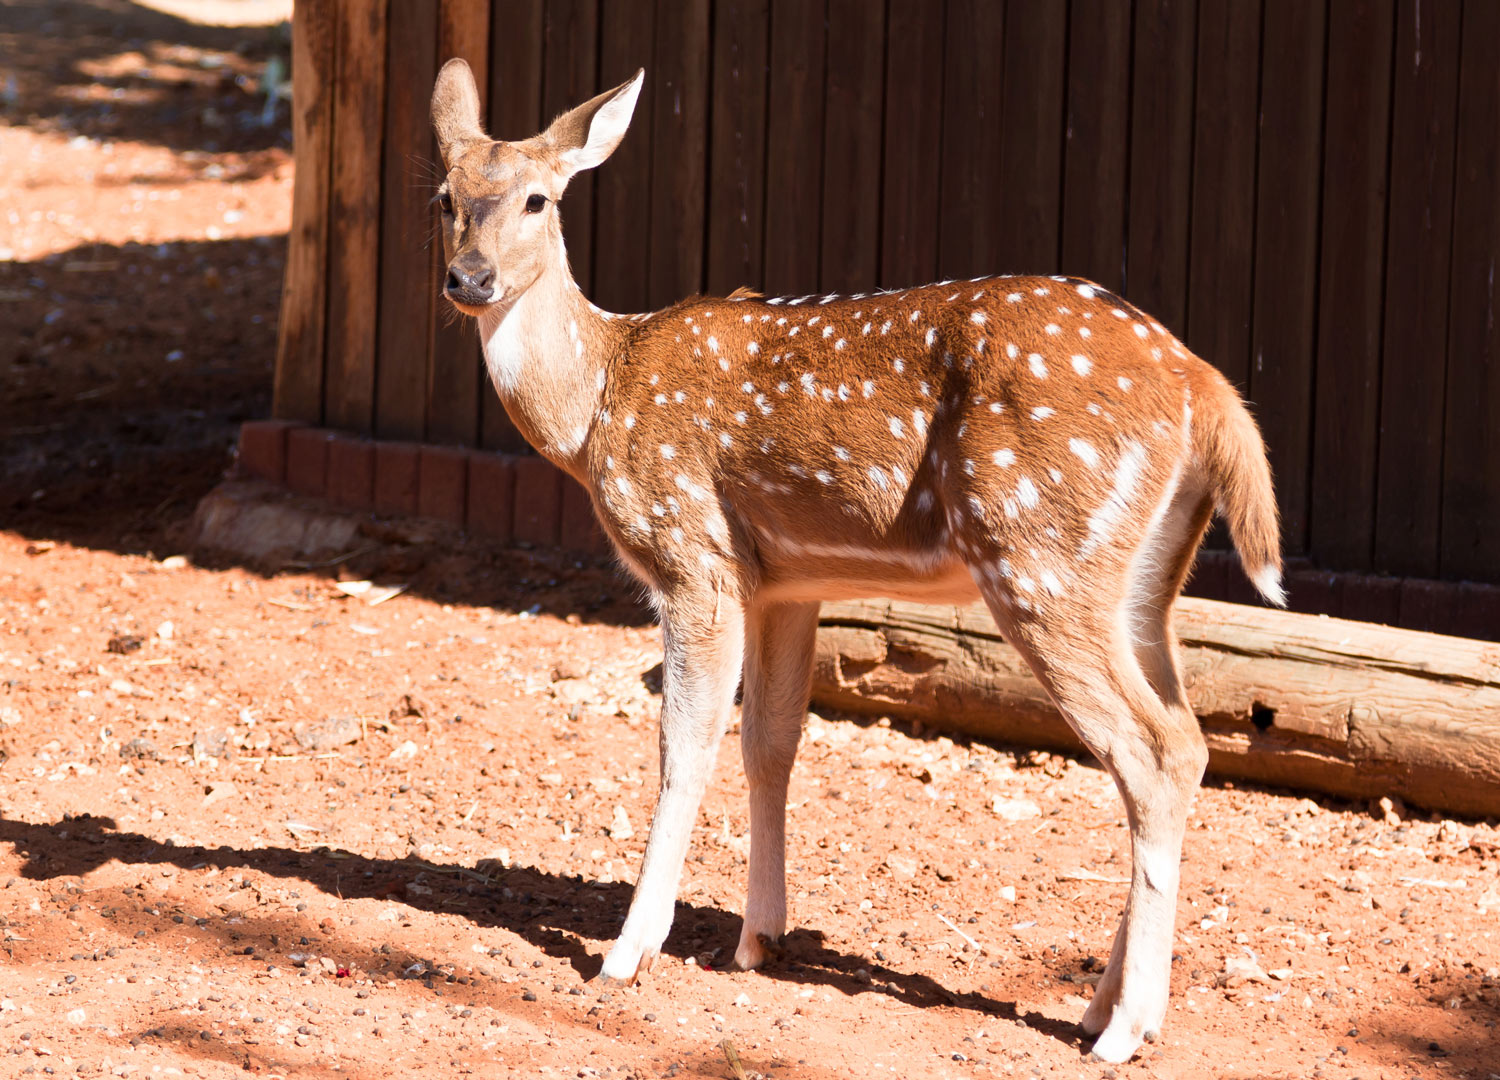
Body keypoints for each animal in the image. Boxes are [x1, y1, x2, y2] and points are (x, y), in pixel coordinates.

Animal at [429, 59, 1284, 1062]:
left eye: (538, 198)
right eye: (446, 196)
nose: (470, 278)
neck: (597, 400)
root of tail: (1204, 386)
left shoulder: (693, 557)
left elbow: (686, 745)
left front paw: (628, 953)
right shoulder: (785, 583)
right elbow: (771, 744)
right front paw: (758, 938)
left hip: (1040, 556)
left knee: (1153, 751)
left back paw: (1124, 1031)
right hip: (1143, 584)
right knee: (1185, 740)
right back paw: (1099, 1006)